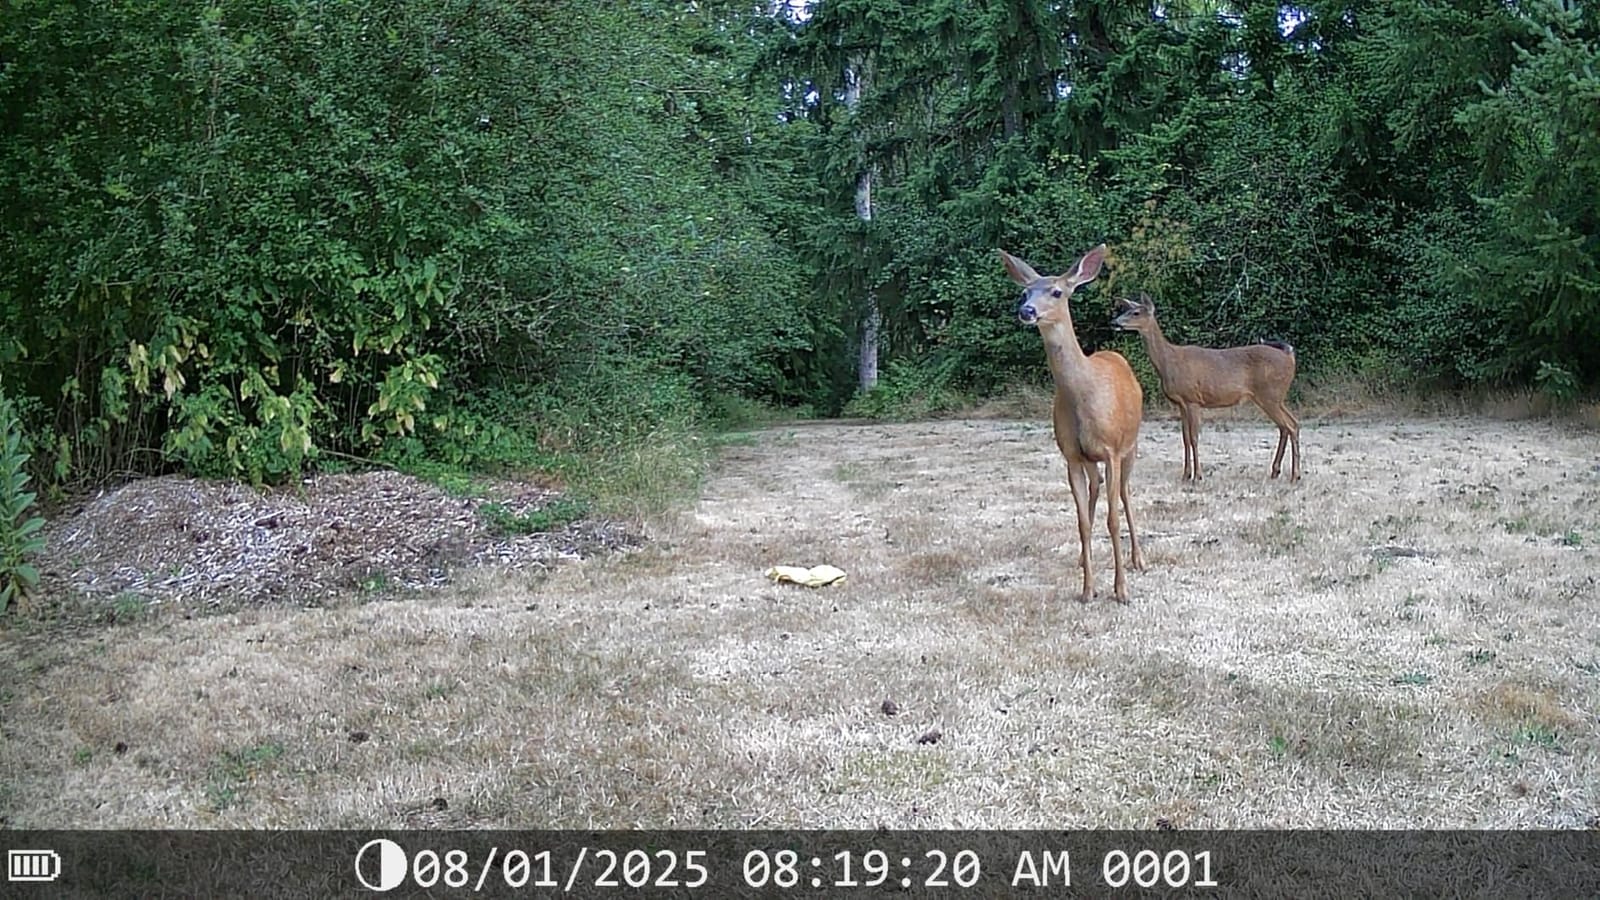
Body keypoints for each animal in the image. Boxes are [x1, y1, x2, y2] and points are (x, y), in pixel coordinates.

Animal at [1000, 244, 1145, 604]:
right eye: (1024, 291)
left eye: (1056, 291)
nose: (1026, 310)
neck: (1084, 397)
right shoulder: (1071, 455)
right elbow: (1081, 522)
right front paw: (1087, 589)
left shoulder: (1111, 449)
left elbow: (1112, 519)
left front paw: (1121, 590)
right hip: (1091, 459)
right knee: (1097, 487)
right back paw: (1082, 559)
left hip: (1131, 444)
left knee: (1125, 493)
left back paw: (1138, 559)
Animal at [1111, 294, 1301, 483]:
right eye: (1125, 309)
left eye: (1136, 312)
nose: (1114, 322)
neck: (1169, 362)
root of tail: (1289, 356)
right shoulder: (1181, 403)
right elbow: (1185, 438)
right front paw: (1186, 474)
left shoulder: (1193, 399)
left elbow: (1194, 438)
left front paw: (1197, 476)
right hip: (1276, 397)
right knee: (1291, 424)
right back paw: (1276, 471)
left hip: (1269, 394)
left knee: (1289, 426)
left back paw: (1294, 475)